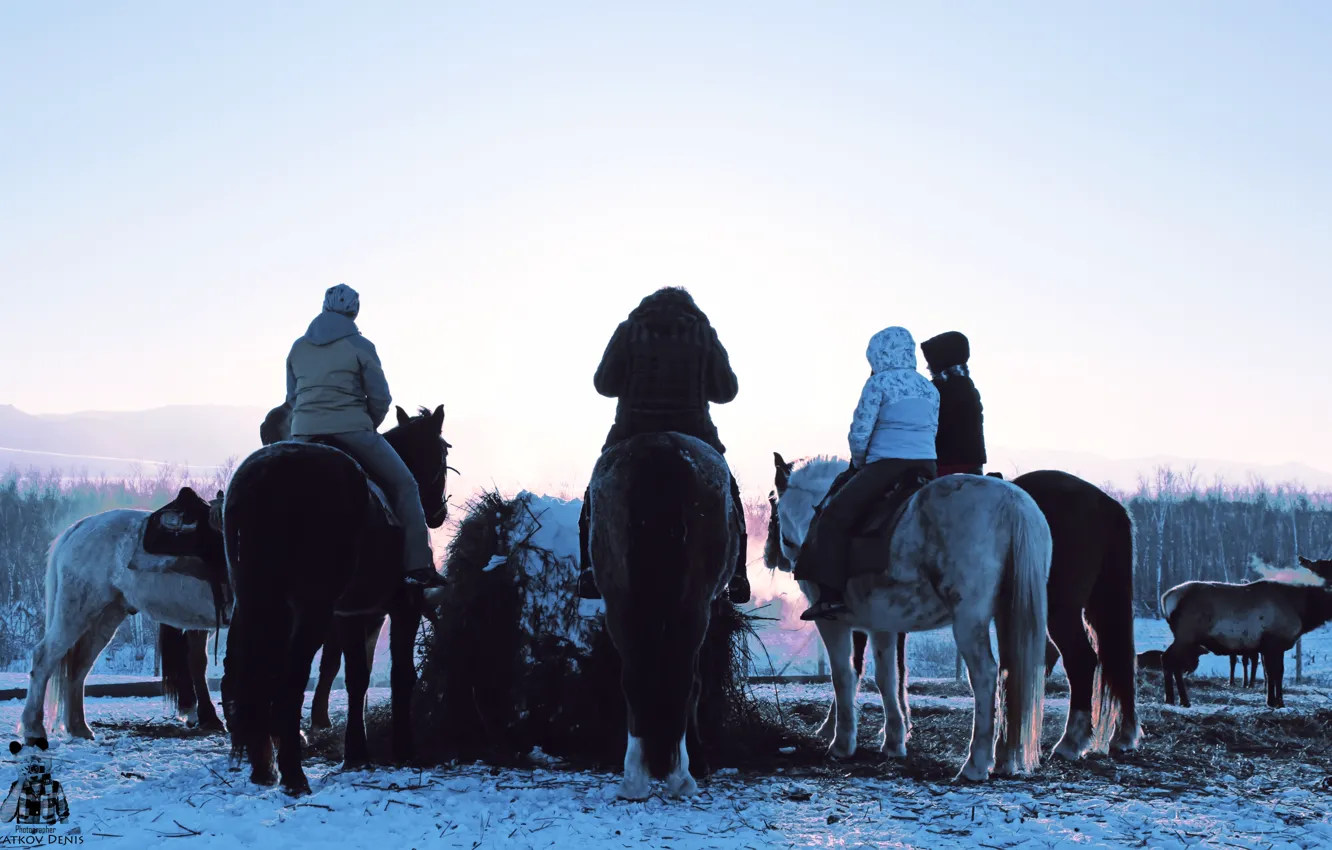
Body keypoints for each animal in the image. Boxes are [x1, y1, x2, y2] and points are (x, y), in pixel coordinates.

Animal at [20, 487, 229, 746]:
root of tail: (78, 527)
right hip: (75, 612)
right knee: (44, 658)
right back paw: (33, 729)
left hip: (106, 617)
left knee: (79, 667)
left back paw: (79, 728)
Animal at [221, 405, 452, 796]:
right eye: (443, 454)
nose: (437, 514)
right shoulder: (402, 608)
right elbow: (401, 675)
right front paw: (404, 750)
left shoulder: (352, 614)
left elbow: (357, 678)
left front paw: (357, 755)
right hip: (309, 610)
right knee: (291, 677)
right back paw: (293, 774)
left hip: (257, 603)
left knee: (256, 673)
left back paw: (264, 765)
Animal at [590, 432, 738, 800]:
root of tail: (659, 450)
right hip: (693, 607)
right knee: (684, 679)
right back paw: (681, 776)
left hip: (621, 602)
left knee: (632, 678)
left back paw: (633, 778)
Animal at [768, 454, 1051, 781]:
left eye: (773, 506)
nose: (770, 556)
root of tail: (1011, 501)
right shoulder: (882, 624)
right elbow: (888, 678)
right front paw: (893, 740)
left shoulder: (831, 622)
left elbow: (843, 675)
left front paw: (842, 743)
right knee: (1011, 672)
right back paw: (1005, 758)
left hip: (969, 622)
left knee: (985, 675)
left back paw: (976, 764)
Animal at [1160, 557, 1332, 709]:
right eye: (1319, 569)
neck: (1304, 611)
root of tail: (1165, 598)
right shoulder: (1274, 642)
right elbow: (1275, 672)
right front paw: (1277, 702)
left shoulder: (1268, 647)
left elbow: (1271, 673)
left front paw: (1273, 701)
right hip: (1186, 635)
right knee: (1169, 659)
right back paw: (1182, 700)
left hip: (1185, 637)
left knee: (1169, 660)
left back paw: (1171, 699)